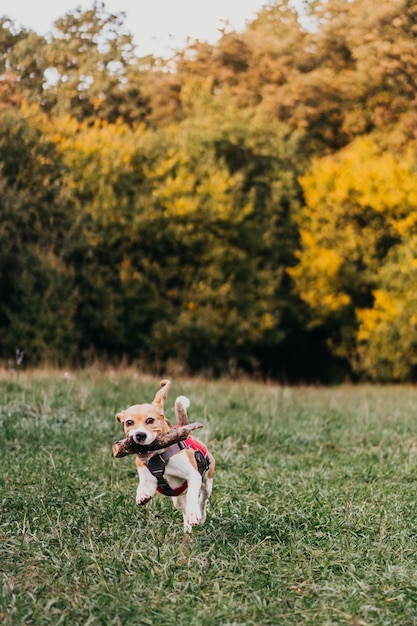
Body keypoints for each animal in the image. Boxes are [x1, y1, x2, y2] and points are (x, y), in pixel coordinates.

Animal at [117, 376, 214, 532]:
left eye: (150, 420)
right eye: (129, 422)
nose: (139, 435)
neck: (158, 456)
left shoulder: (193, 476)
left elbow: (193, 496)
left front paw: (194, 514)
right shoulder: (148, 478)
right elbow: (145, 486)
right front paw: (141, 495)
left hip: (207, 482)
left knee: (202, 499)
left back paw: (199, 516)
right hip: (178, 498)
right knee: (183, 507)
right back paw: (187, 528)